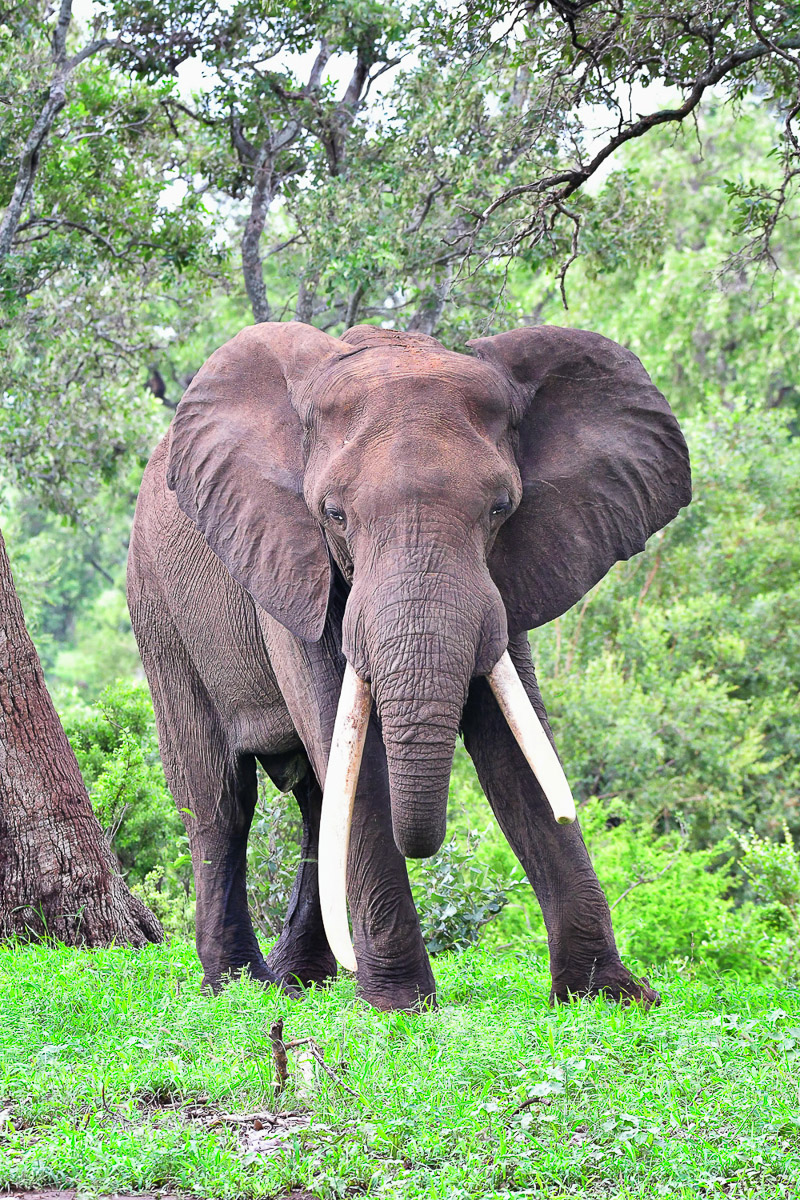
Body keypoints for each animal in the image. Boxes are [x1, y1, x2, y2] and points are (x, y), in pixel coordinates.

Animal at [127, 320, 691, 1011]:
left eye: (501, 508)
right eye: (334, 514)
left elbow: (515, 742)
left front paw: (608, 997)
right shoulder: (290, 562)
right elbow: (352, 757)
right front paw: (400, 1004)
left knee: (315, 802)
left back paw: (299, 980)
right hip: (160, 610)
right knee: (220, 798)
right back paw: (237, 987)